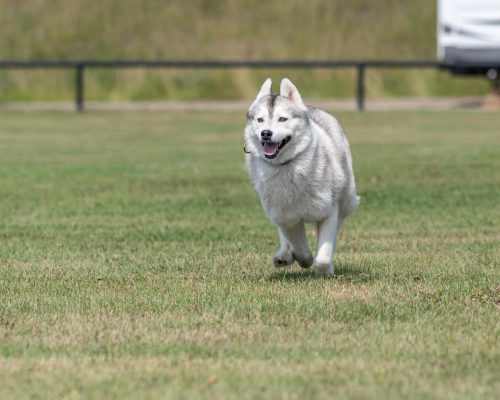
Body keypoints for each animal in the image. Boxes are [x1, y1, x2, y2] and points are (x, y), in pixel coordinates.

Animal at [244, 78, 359, 276]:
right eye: (260, 120)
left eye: (282, 119)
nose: (265, 133)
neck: (286, 165)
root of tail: (311, 108)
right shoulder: (286, 217)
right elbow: (301, 250)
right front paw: (298, 258)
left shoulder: (329, 210)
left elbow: (323, 256)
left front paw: (324, 270)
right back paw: (284, 255)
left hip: (346, 198)